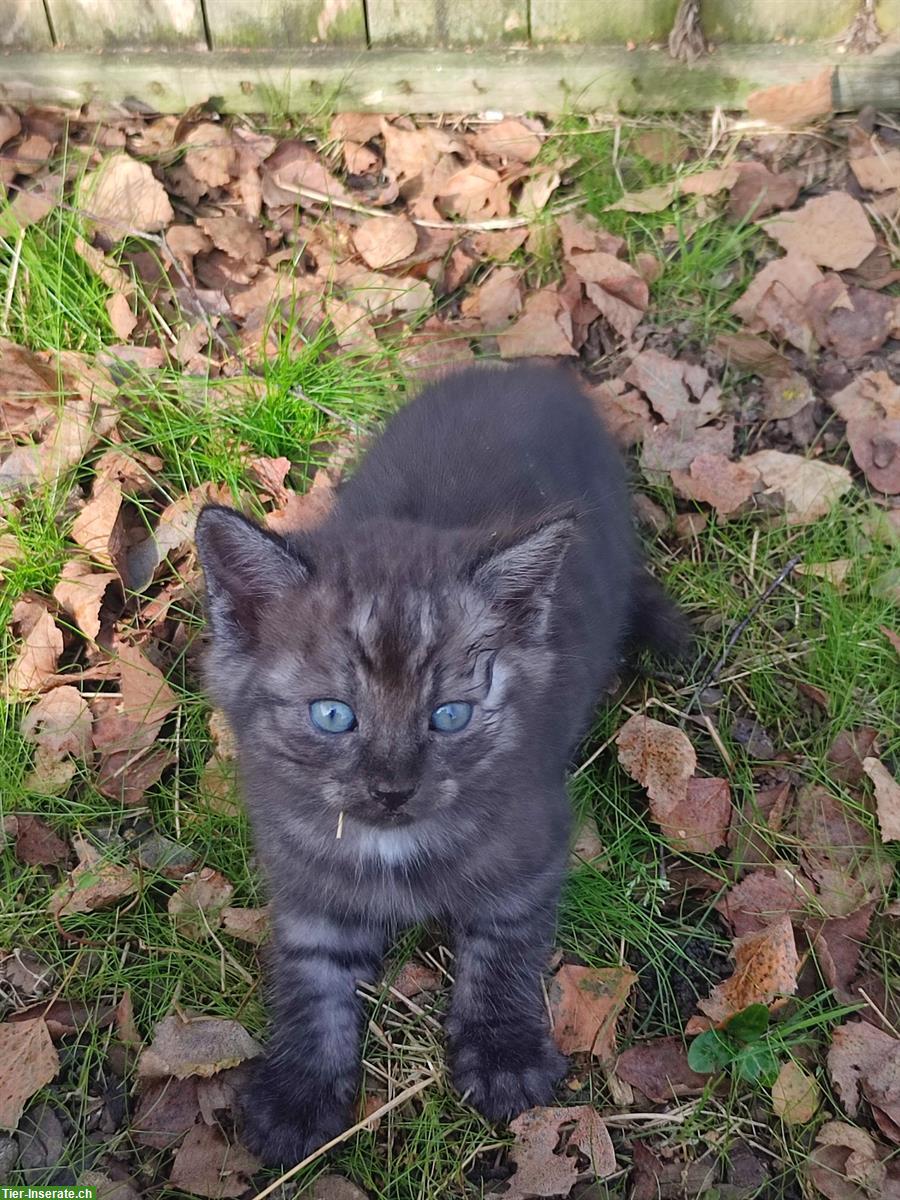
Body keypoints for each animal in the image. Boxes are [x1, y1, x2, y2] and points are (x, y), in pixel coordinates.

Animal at [194, 362, 681, 1161]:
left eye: (448, 716)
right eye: (334, 715)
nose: (392, 790)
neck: (391, 845)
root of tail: (527, 371)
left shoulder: (528, 846)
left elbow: (505, 944)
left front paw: (505, 1051)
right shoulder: (306, 881)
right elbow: (310, 977)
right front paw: (298, 1091)